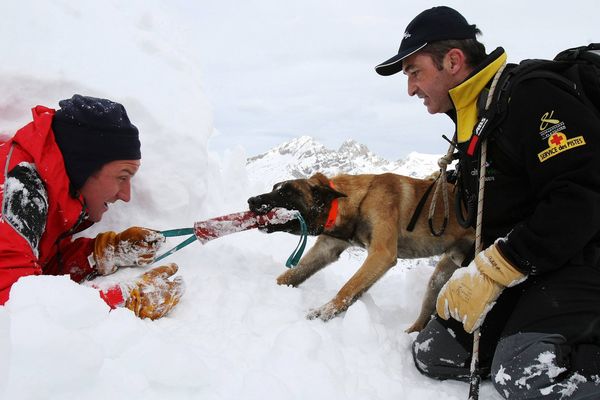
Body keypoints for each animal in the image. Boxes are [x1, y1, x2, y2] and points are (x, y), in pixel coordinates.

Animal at [248, 172, 474, 332]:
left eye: (286, 192)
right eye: (275, 188)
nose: (251, 200)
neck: (359, 199)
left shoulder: (381, 254)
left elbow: (347, 288)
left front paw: (323, 312)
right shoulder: (326, 249)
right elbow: (292, 274)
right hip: (439, 278)